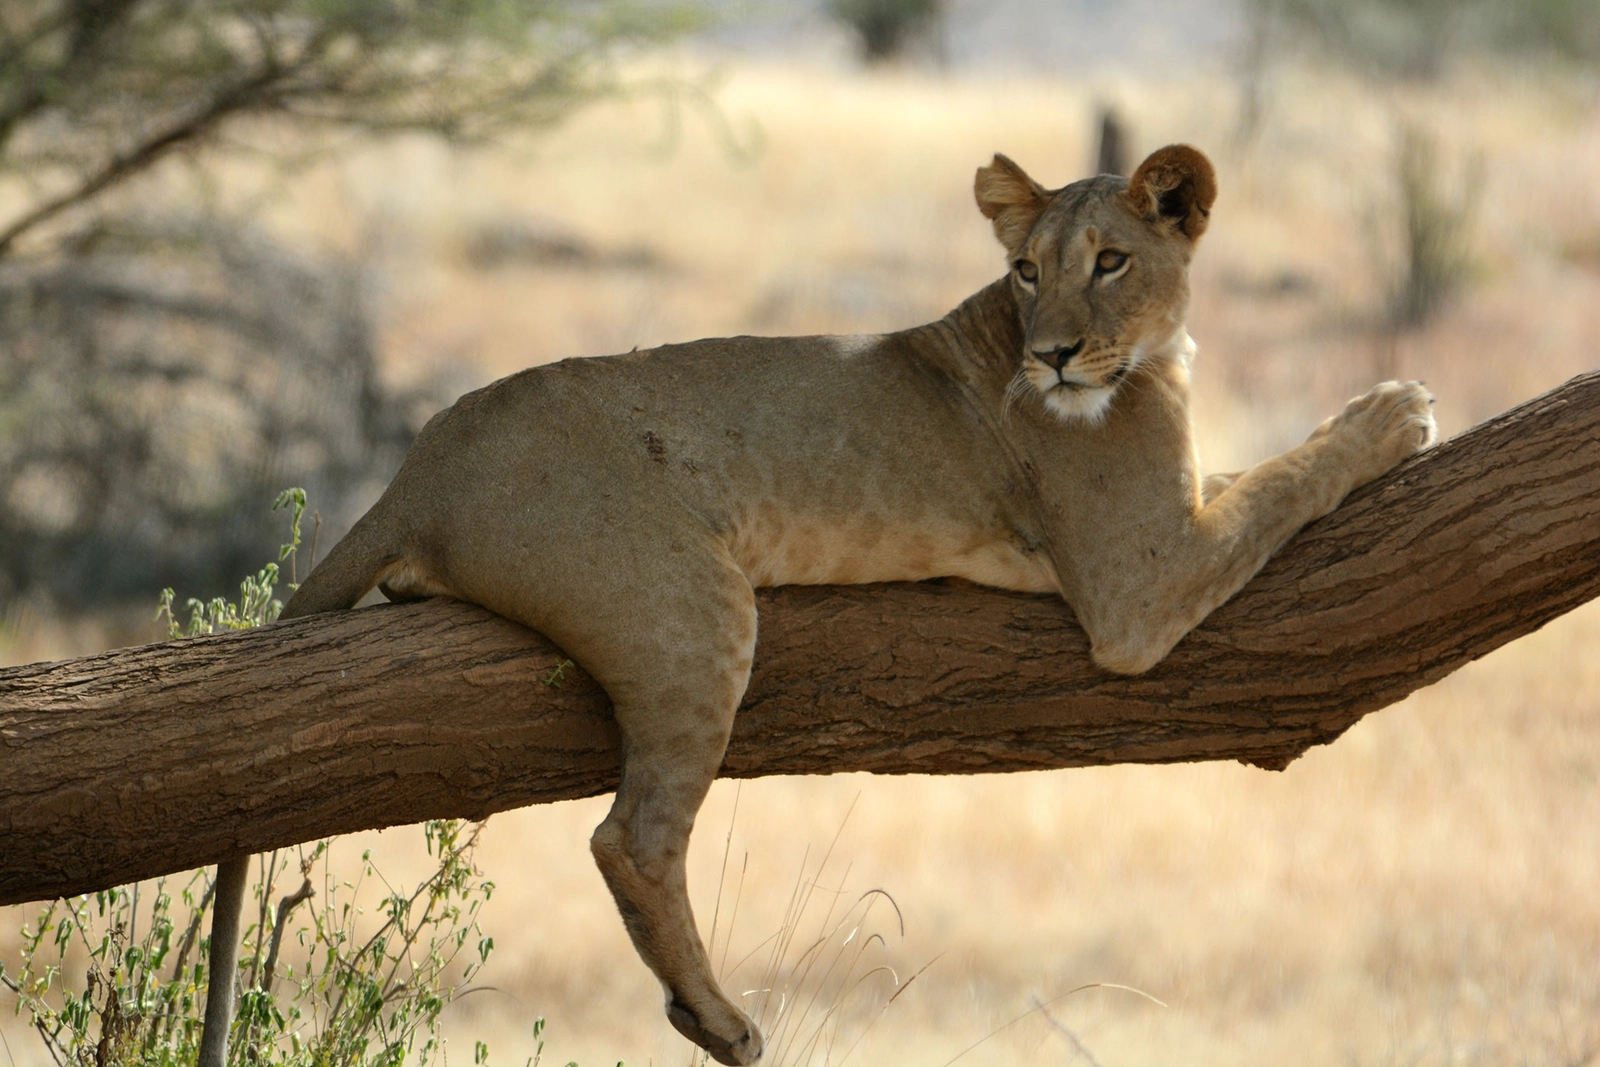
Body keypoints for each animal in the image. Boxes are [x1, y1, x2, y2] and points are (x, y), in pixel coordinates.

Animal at [197, 144, 1436, 1066]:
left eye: (1111, 260)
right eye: (1027, 270)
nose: (1052, 356)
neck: (1152, 355)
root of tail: (426, 459)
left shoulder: (1166, 527)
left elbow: (1249, 472)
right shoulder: (1137, 586)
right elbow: (1286, 477)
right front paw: (1394, 409)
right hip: (689, 601)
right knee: (630, 836)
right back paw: (720, 1019)